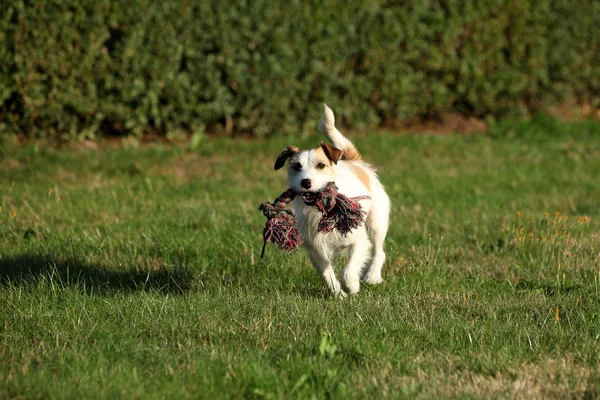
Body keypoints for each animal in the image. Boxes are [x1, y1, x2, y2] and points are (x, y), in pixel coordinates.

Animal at [274, 104, 392, 296]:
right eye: (296, 166)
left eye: (321, 165)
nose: (306, 182)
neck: (320, 209)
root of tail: (355, 163)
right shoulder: (315, 249)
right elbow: (327, 274)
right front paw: (338, 293)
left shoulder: (359, 241)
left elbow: (348, 270)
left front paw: (351, 286)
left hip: (377, 223)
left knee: (379, 251)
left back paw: (372, 276)